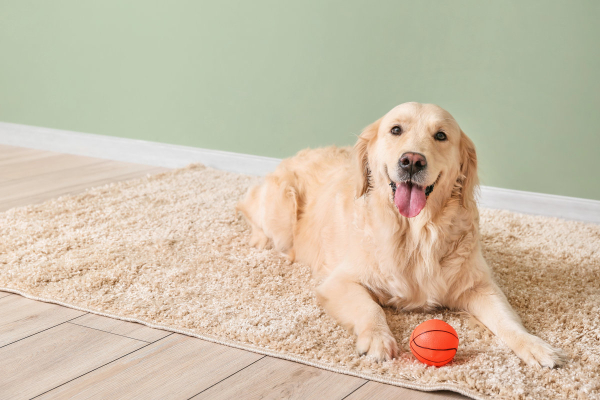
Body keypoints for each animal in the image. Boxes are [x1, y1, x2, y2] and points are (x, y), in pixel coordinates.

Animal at [237, 101, 564, 368]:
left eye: (441, 136)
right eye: (396, 130)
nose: (412, 161)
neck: (417, 233)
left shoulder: (479, 285)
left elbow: (508, 320)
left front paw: (536, 347)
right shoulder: (339, 282)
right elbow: (370, 308)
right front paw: (378, 340)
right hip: (281, 209)